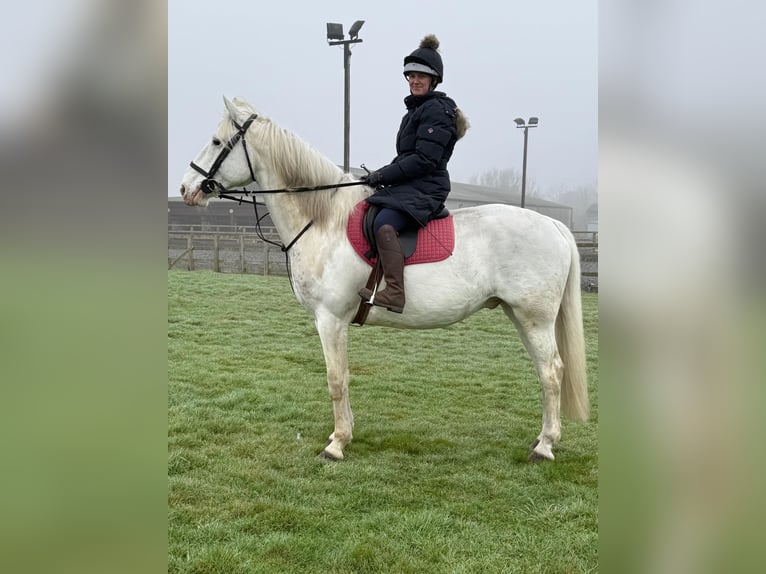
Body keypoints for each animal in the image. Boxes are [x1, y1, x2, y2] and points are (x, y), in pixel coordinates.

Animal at [179, 96, 589, 462]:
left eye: (216, 142)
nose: (186, 188)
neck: (323, 221)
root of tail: (553, 224)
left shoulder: (330, 319)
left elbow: (336, 379)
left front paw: (337, 444)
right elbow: (343, 378)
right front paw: (343, 433)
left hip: (534, 318)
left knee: (552, 373)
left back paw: (545, 447)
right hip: (519, 315)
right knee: (544, 372)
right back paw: (540, 440)